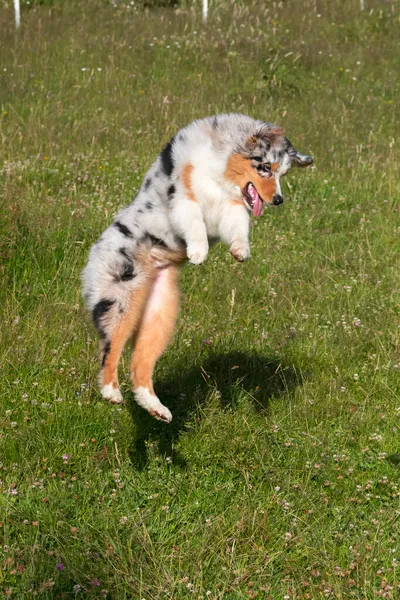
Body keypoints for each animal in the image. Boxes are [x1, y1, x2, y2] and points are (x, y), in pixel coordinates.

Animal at [81, 113, 312, 422]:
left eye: (282, 174)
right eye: (265, 168)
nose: (278, 200)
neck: (220, 167)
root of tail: (95, 249)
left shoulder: (231, 207)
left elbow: (239, 227)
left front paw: (241, 251)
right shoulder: (182, 195)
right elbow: (194, 222)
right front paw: (198, 252)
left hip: (160, 316)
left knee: (139, 365)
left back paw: (156, 408)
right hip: (120, 300)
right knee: (109, 350)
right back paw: (111, 392)